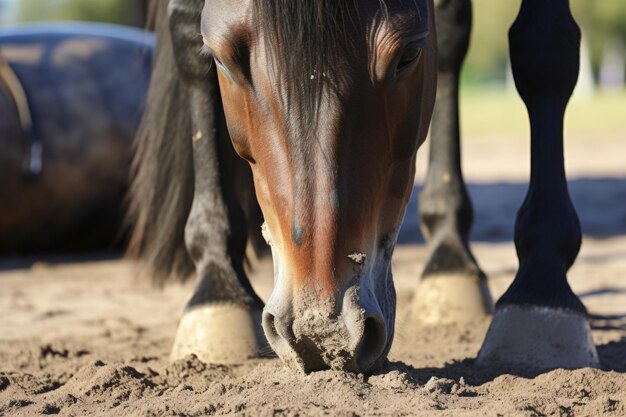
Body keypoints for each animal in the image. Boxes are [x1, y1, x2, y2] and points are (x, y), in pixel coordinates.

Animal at [129, 0, 596, 374]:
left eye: (408, 54)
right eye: (223, 59)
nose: (322, 334)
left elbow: (544, 47)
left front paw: (541, 288)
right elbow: (185, 33)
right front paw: (216, 288)